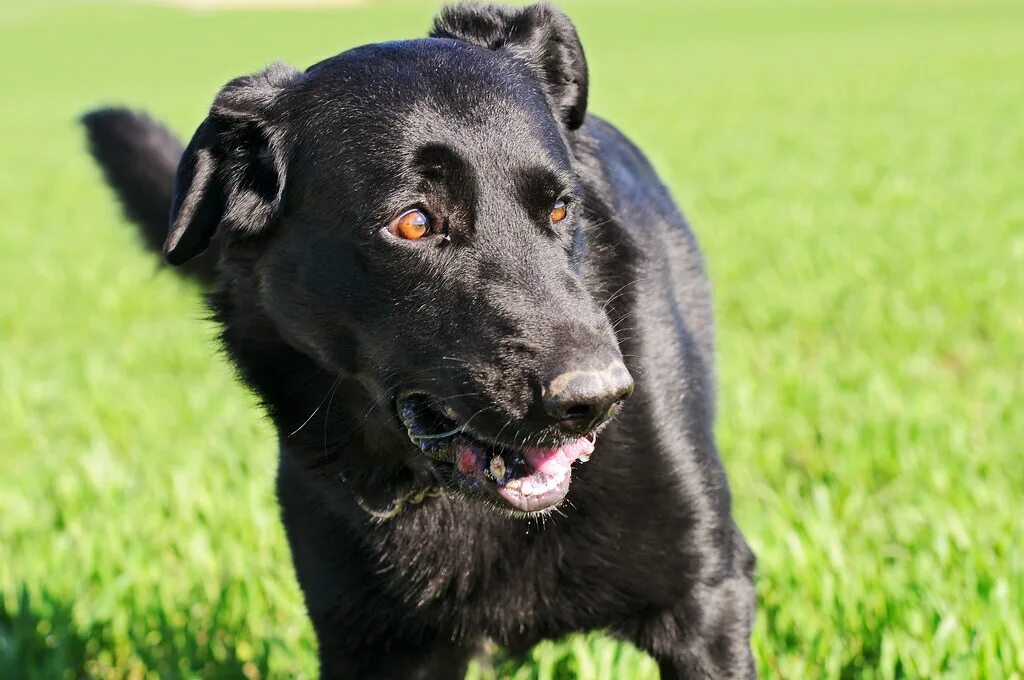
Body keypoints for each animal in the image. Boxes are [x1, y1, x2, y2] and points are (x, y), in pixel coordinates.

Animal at [83, 2, 757, 675]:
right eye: (413, 223)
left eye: (562, 209)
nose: (598, 400)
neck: (441, 491)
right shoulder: (369, 644)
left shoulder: (708, 602)